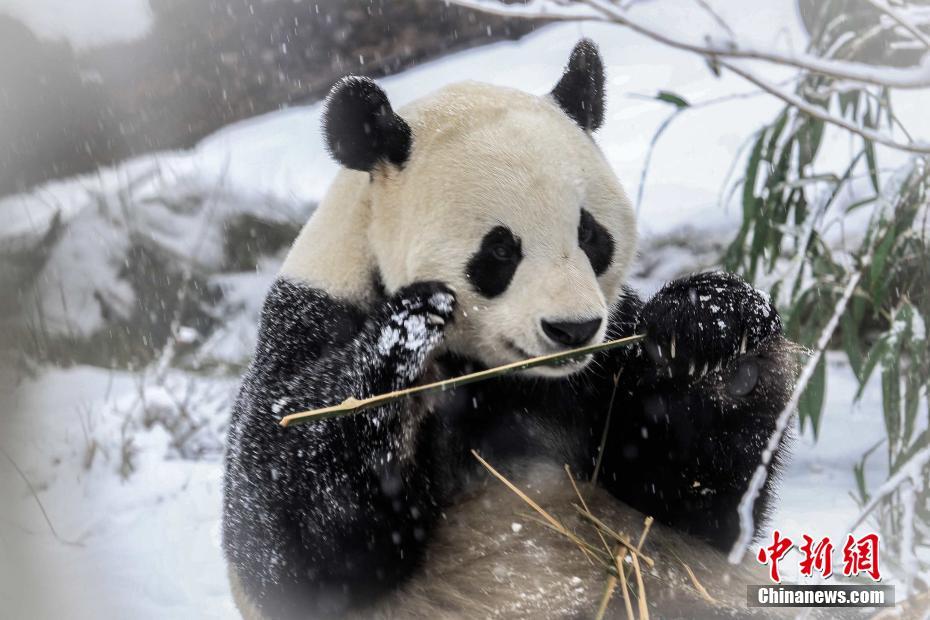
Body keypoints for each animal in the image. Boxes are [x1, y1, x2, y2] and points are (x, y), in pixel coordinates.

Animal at [223, 40, 799, 619]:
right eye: (501, 250)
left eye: (589, 233)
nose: (574, 329)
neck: (503, 376)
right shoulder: (307, 327)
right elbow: (297, 544)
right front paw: (411, 325)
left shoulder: (607, 362)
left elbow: (693, 501)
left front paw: (711, 327)